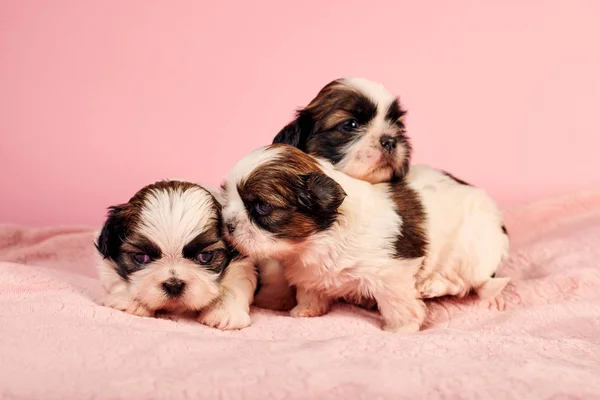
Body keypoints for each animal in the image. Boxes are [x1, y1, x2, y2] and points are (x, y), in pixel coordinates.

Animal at [95, 180, 258, 330]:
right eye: (141, 258)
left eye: (205, 256)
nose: (174, 285)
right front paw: (131, 300)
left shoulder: (242, 267)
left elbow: (235, 285)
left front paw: (224, 311)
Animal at [272, 76, 510, 304]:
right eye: (350, 124)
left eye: (398, 125)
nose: (390, 140)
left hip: (470, 247)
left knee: (466, 283)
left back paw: (432, 286)